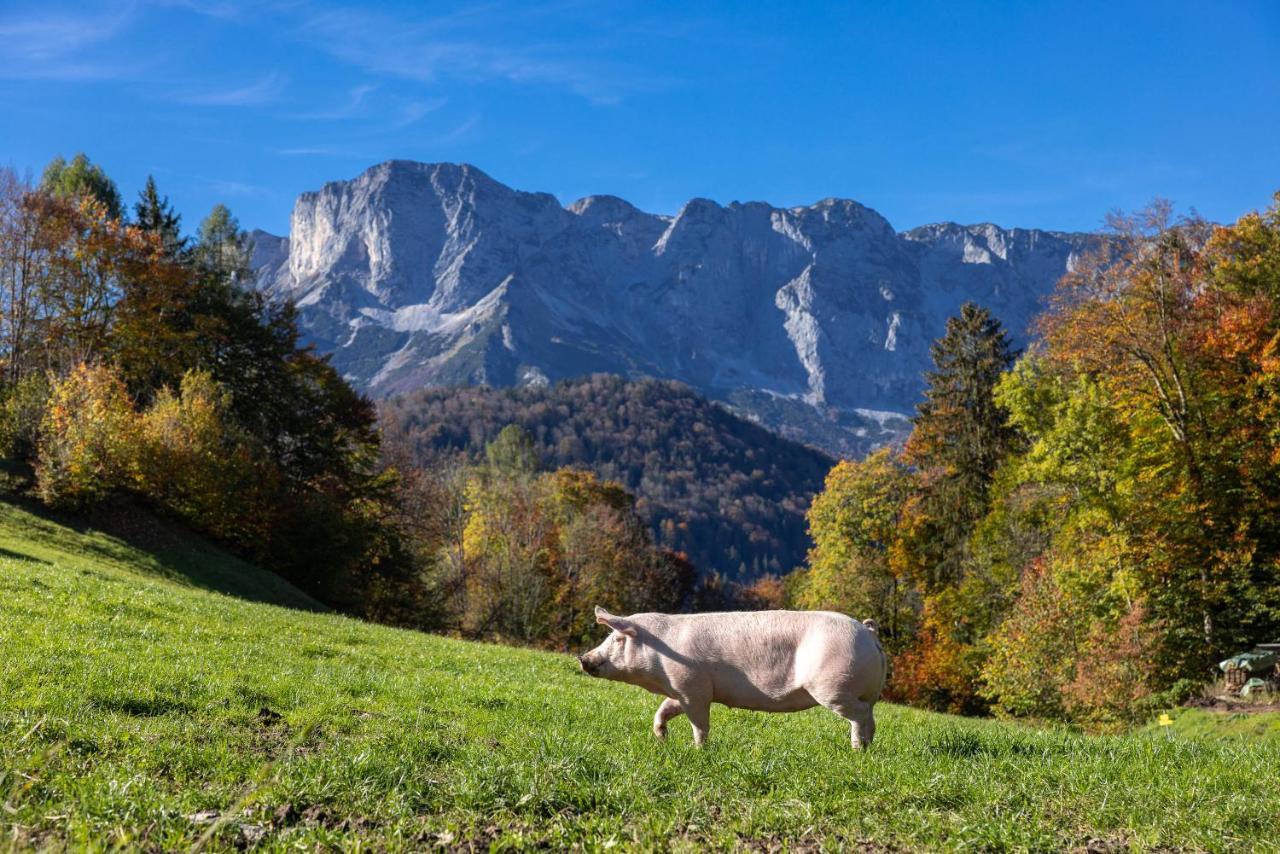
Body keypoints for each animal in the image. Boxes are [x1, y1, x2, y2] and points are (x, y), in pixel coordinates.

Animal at [576, 606, 885, 747]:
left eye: (617, 638)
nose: (583, 658)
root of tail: (869, 633)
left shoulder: (693, 687)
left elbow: (700, 723)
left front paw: (698, 748)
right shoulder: (680, 691)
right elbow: (663, 709)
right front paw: (662, 737)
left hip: (833, 688)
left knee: (859, 715)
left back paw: (856, 749)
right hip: (864, 693)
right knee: (871, 716)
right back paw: (868, 748)